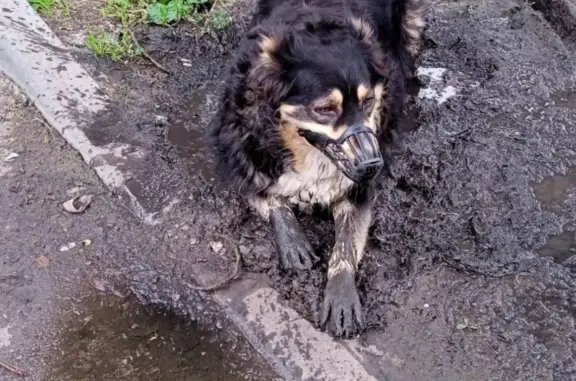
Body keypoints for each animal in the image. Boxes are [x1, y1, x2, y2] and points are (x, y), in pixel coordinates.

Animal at [209, 0, 426, 336]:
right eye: (325, 109)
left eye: (368, 101)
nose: (372, 165)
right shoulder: (241, 154)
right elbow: (271, 198)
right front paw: (293, 243)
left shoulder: (357, 186)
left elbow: (346, 243)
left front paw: (341, 295)